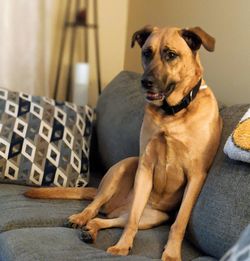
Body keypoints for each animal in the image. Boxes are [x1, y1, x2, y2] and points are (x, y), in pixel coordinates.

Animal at [24, 24, 222, 260]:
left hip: (153, 217)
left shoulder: (196, 176)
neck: (172, 114)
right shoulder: (145, 167)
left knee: (108, 219)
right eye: (146, 53)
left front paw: (172, 254)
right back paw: (81, 219)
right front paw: (122, 245)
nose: (145, 82)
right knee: (99, 208)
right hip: (125, 166)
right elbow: (132, 220)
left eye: (171, 55)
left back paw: (91, 230)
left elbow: (179, 222)